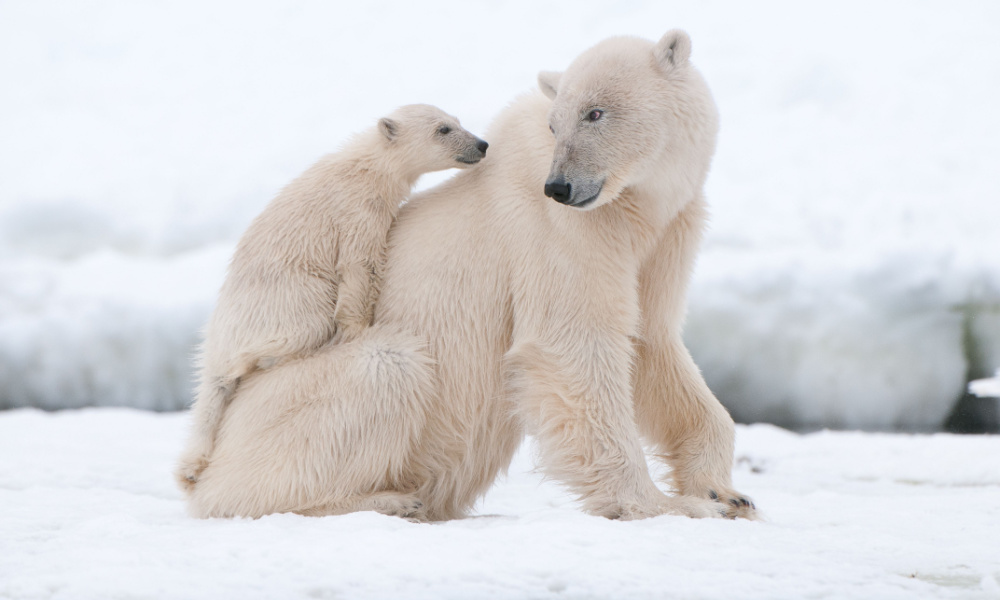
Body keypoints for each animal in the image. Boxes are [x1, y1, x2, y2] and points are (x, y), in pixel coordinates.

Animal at [175, 105, 489, 491]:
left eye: (458, 121)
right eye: (443, 129)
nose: (482, 144)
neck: (366, 166)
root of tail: (218, 338)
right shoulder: (357, 211)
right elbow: (359, 266)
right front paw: (358, 329)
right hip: (287, 299)